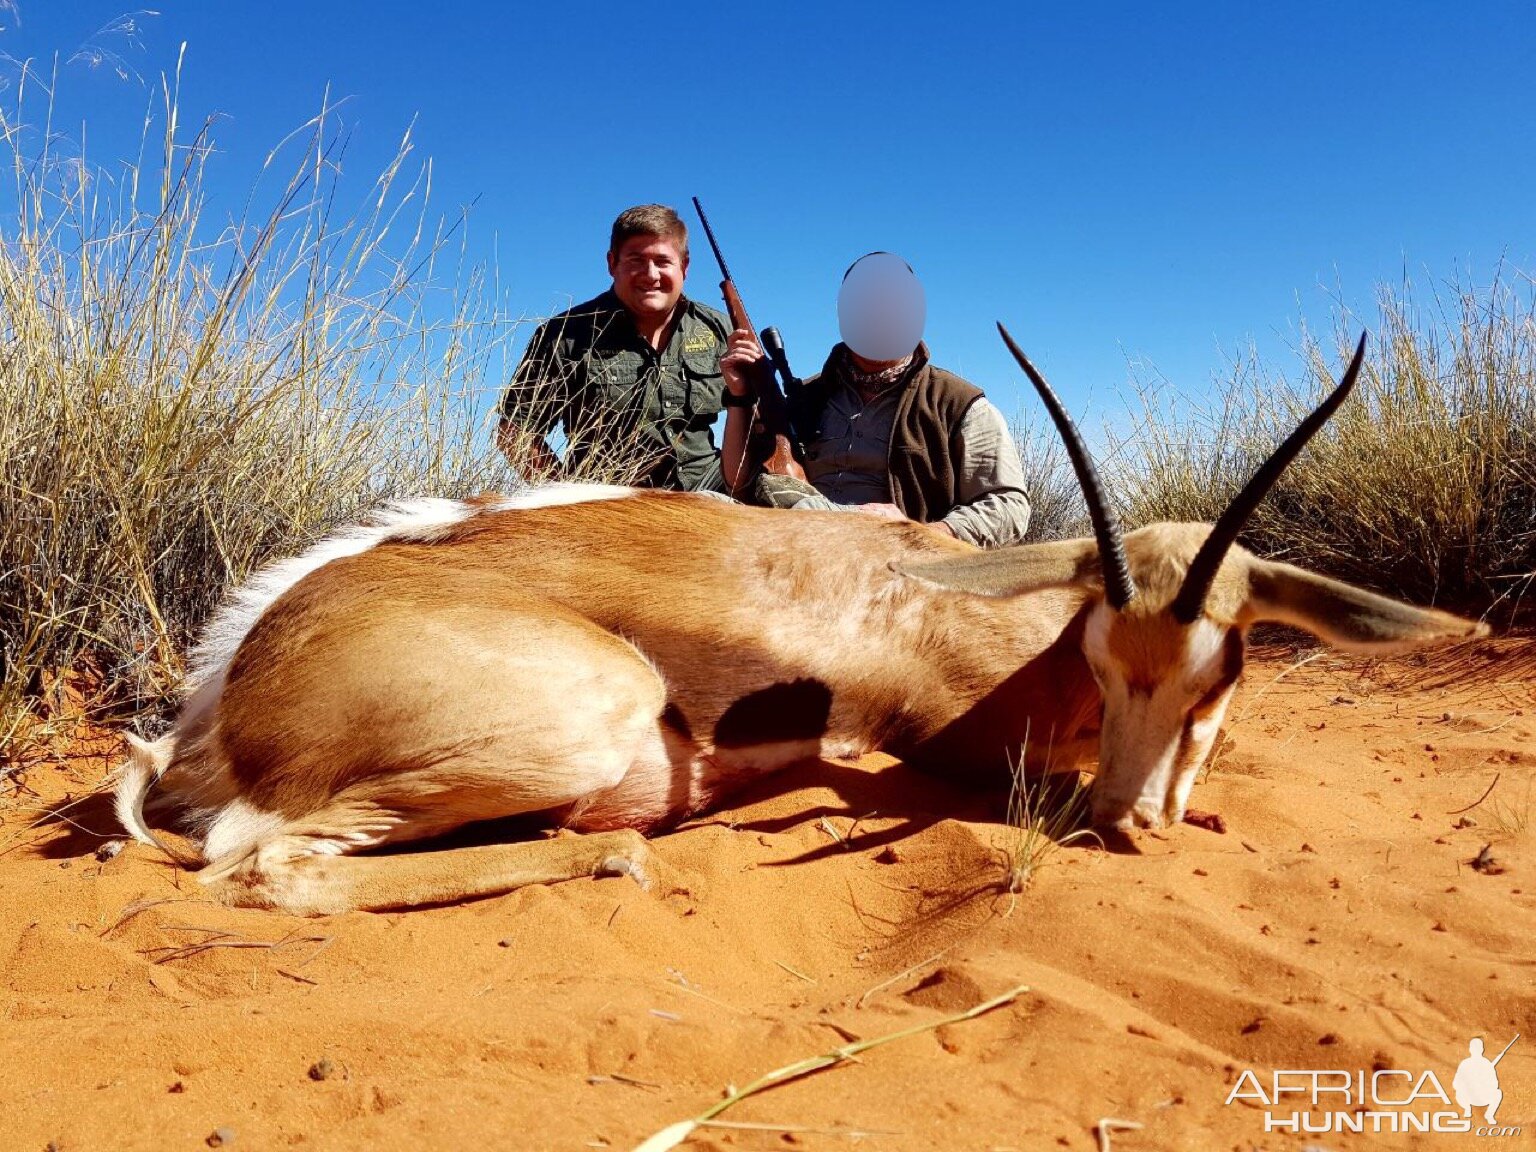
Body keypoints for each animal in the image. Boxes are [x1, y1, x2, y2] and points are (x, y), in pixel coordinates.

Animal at [116, 328, 1486, 915]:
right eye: (1105, 660)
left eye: (1223, 665)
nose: (1125, 823)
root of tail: (222, 698)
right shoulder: (942, 743)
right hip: (582, 720)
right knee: (270, 865)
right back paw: (621, 857)